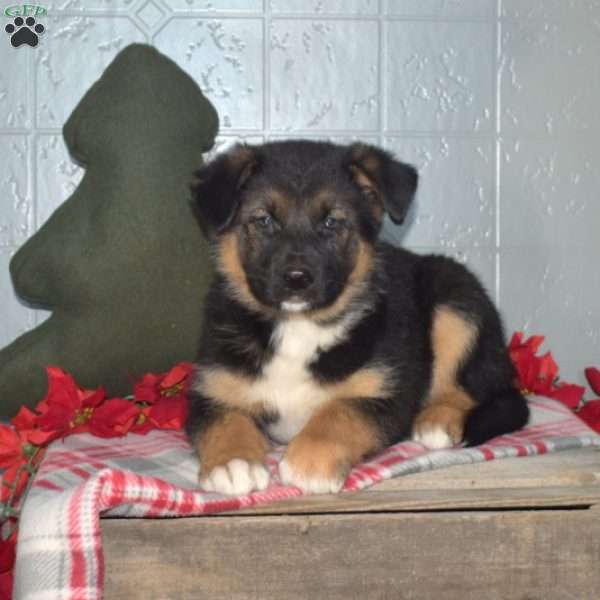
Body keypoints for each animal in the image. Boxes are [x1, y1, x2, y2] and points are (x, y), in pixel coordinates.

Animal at [185, 142, 528, 496]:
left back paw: (437, 420)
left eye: (332, 222)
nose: (296, 278)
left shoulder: (386, 394)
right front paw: (232, 462)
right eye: (263, 220)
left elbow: (340, 411)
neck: (299, 326)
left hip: (457, 304)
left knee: (465, 386)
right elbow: (225, 419)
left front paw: (310, 461)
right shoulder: (212, 388)